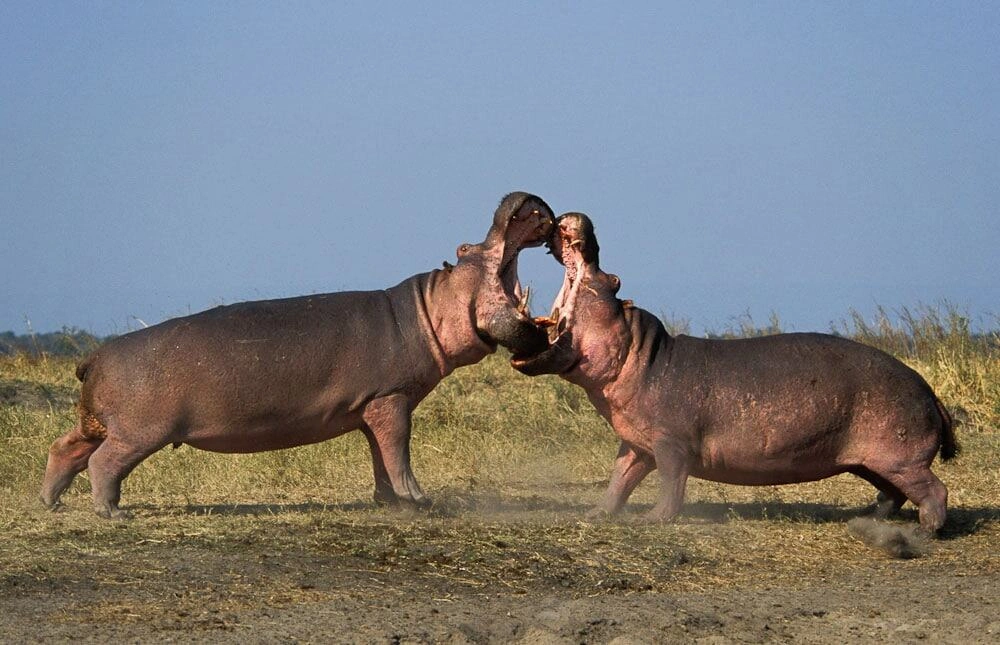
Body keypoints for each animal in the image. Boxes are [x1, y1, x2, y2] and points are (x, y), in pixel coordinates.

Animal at [42, 192, 554, 519]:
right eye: (466, 248)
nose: (521, 199)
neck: (430, 306)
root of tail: (94, 357)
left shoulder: (373, 406)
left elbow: (380, 454)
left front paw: (390, 502)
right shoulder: (391, 398)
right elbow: (399, 449)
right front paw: (421, 501)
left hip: (97, 422)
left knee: (65, 448)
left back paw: (52, 502)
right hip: (139, 431)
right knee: (103, 463)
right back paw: (112, 514)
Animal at [511, 213, 958, 532]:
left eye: (614, 279)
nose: (580, 220)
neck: (640, 353)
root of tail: (929, 390)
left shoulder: (671, 442)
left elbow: (671, 482)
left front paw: (653, 520)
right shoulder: (637, 443)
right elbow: (620, 478)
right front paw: (596, 513)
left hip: (900, 458)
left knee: (935, 490)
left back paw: (925, 530)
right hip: (869, 461)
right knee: (893, 493)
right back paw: (867, 518)